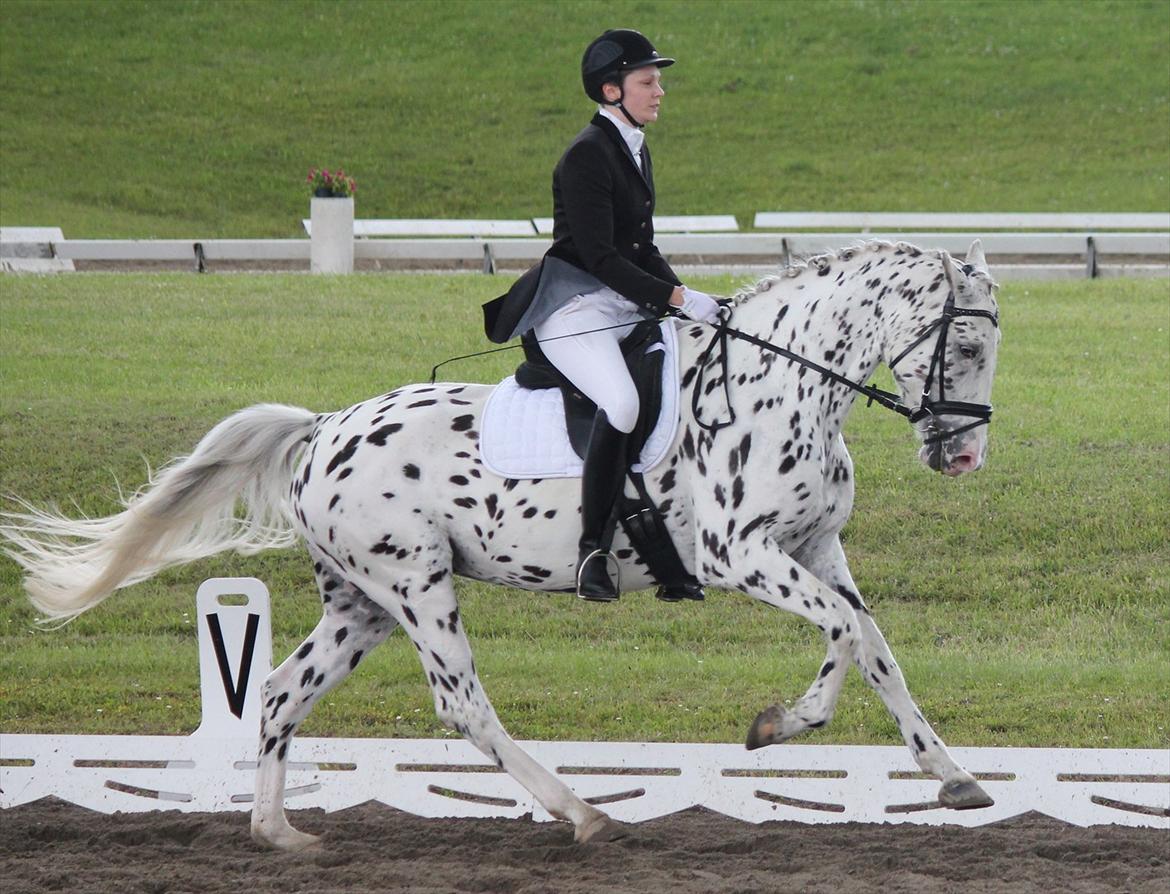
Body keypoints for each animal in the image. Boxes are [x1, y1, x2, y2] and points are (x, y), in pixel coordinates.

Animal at [2, 237, 1006, 851]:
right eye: (963, 349)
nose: (962, 456)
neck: (781, 386)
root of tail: (323, 428)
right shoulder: (741, 554)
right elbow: (839, 632)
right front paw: (779, 726)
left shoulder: (817, 546)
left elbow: (873, 644)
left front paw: (953, 778)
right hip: (416, 585)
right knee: (462, 705)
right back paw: (584, 813)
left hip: (363, 605)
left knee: (285, 690)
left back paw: (279, 833)